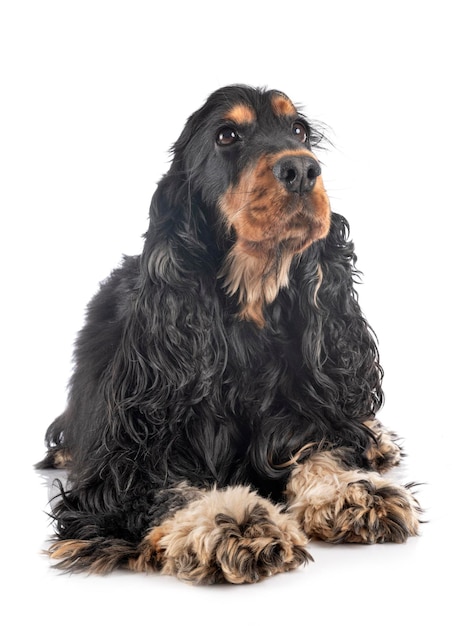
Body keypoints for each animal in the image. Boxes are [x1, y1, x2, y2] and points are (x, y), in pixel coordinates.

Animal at [37, 85, 422, 584]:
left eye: (299, 130)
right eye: (226, 135)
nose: (302, 170)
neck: (248, 320)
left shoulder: (302, 413)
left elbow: (321, 447)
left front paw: (354, 492)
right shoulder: (124, 464)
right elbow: (162, 492)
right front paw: (234, 522)